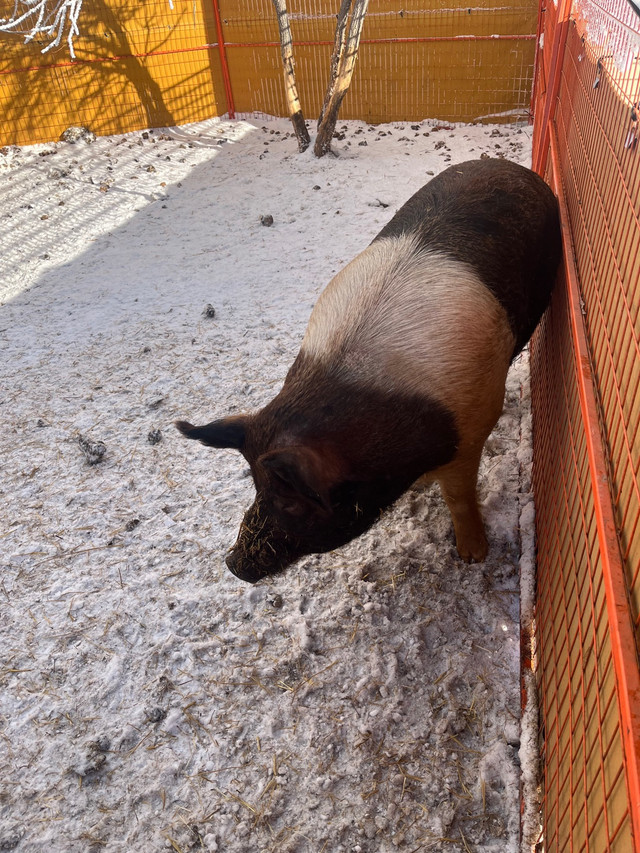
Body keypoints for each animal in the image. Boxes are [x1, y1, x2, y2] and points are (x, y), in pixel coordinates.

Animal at [175, 156, 560, 584]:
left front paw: (474, 557)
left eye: (290, 502)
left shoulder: (473, 426)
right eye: (256, 486)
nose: (234, 565)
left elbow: (458, 496)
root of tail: (509, 166)